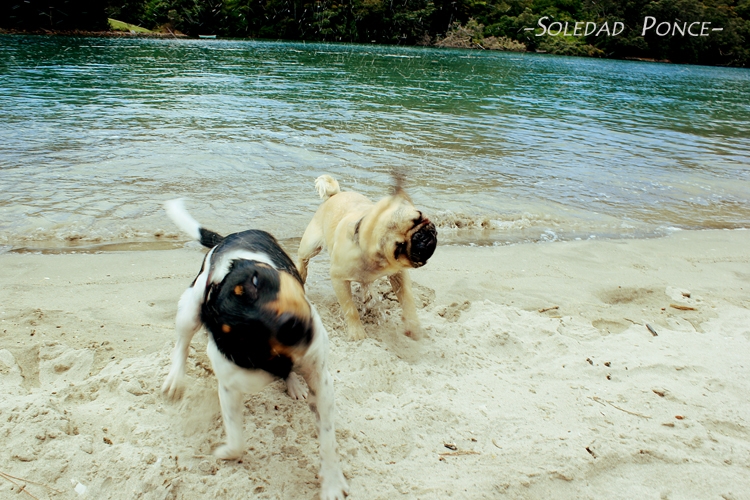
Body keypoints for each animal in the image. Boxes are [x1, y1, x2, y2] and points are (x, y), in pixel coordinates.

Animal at [162, 200, 350, 500]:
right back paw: (175, 379)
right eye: (243, 333)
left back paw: (293, 384)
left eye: (255, 282)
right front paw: (226, 452)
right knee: (182, 343)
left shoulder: (321, 379)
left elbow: (328, 440)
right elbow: (236, 437)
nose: (291, 327)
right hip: (191, 309)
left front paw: (332, 482)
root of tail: (227, 238)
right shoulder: (230, 385)